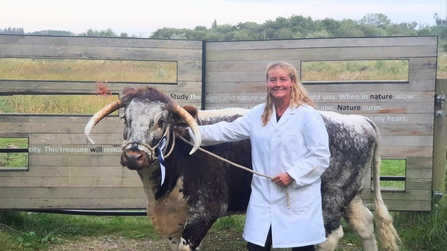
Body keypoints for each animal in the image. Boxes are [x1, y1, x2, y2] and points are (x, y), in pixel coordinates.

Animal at [86, 87, 400, 251]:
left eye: (161, 121)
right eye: (125, 119)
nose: (134, 155)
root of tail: (358, 121)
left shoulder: (205, 211)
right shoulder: (176, 217)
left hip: (329, 200)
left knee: (330, 237)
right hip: (350, 195)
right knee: (365, 224)